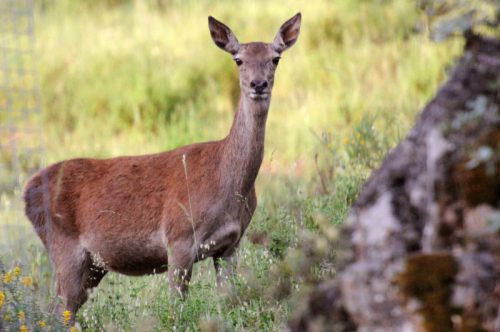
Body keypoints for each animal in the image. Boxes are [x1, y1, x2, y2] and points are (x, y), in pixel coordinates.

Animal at [23, 13, 300, 318]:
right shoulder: (178, 238)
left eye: (275, 58)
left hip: (93, 266)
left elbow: (228, 302)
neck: (226, 182)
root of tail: (27, 191)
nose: (258, 84)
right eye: (238, 59)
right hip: (63, 247)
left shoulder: (231, 245)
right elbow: (177, 308)